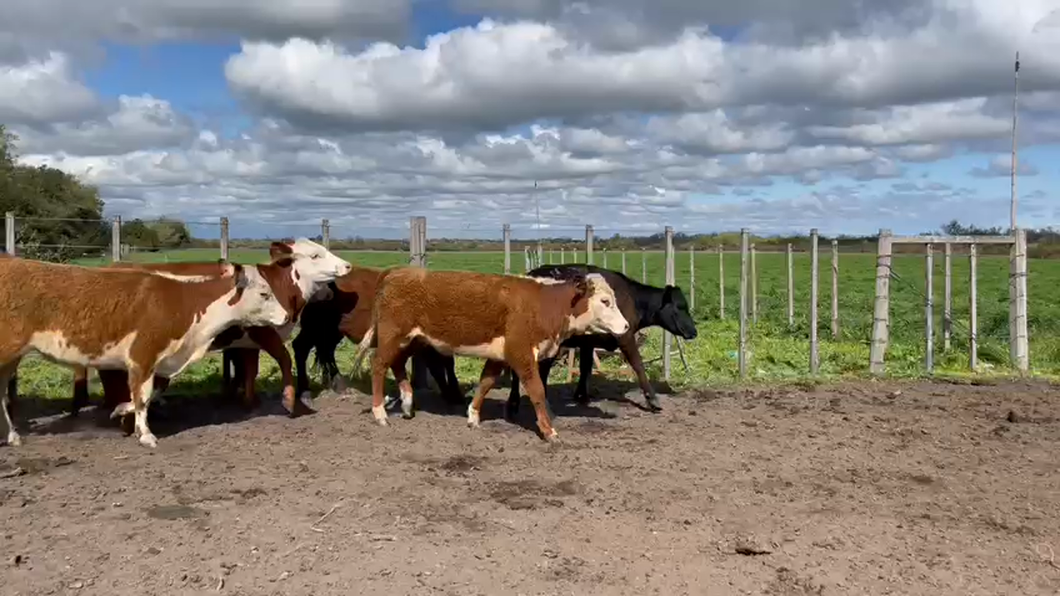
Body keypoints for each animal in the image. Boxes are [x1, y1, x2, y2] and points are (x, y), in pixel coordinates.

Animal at [0, 255, 290, 445]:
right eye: (264, 294)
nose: (287, 316)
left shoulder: (159, 360)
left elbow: (149, 393)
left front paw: (121, 410)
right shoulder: (143, 355)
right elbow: (143, 395)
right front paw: (146, 434)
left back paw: (13, 435)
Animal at [354, 267, 627, 439]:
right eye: (605, 301)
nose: (625, 326)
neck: (543, 304)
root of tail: (395, 272)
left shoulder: (500, 356)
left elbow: (485, 383)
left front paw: (473, 416)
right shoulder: (521, 354)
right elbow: (537, 391)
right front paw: (549, 431)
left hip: (411, 340)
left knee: (397, 364)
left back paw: (408, 404)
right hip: (392, 336)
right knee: (379, 364)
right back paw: (380, 413)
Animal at [506, 261, 699, 415]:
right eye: (680, 307)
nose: (694, 332)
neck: (631, 298)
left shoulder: (587, 342)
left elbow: (586, 367)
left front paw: (582, 396)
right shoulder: (625, 337)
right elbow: (638, 365)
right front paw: (652, 400)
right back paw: (516, 403)